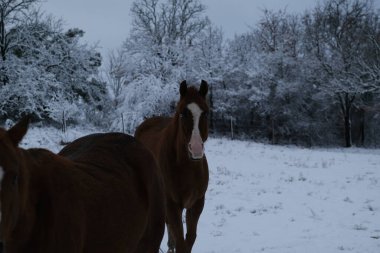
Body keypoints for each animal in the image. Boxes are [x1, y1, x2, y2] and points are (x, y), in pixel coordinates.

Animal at [135, 80, 209, 253]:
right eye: (182, 114)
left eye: (205, 113)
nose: (196, 149)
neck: (187, 168)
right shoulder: (172, 203)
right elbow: (181, 241)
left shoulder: (197, 203)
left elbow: (189, 239)